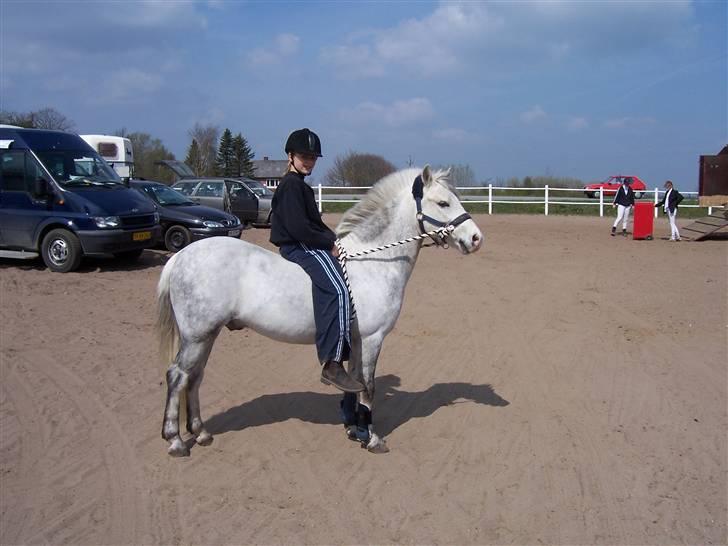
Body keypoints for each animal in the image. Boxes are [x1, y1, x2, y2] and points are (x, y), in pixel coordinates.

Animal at [156, 166, 480, 454]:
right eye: (443, 202)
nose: (476, 238)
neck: (372, 264)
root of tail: (181, 256)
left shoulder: (358, 341)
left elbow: (354, 383)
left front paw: (355, 429)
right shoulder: (373, 339)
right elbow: (368, 386)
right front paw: (372, 438)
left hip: (205, 336)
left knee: (194, 377)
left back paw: (200, 432)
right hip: (198, 336)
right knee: (177, 375)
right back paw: (175, 440)